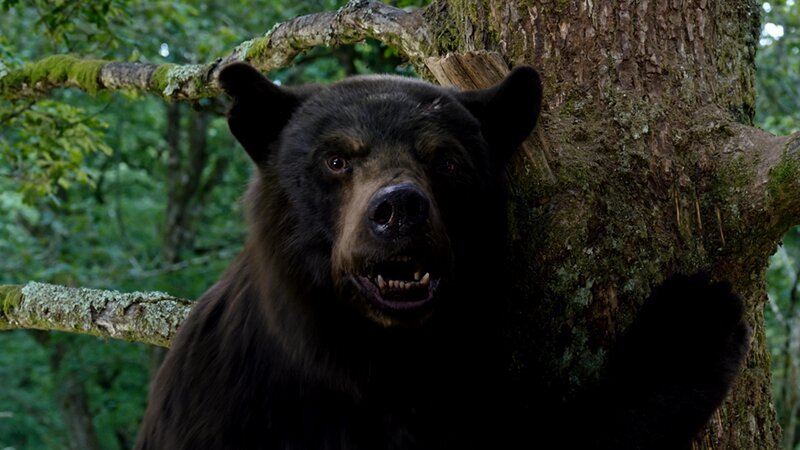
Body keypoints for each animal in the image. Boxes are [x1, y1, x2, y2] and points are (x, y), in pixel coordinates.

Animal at [134, 62, 750, 450]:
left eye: (447, 160)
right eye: (336, 160)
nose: (399, 210)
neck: (374, 359)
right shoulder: (230, 405)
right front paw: (691, 319)